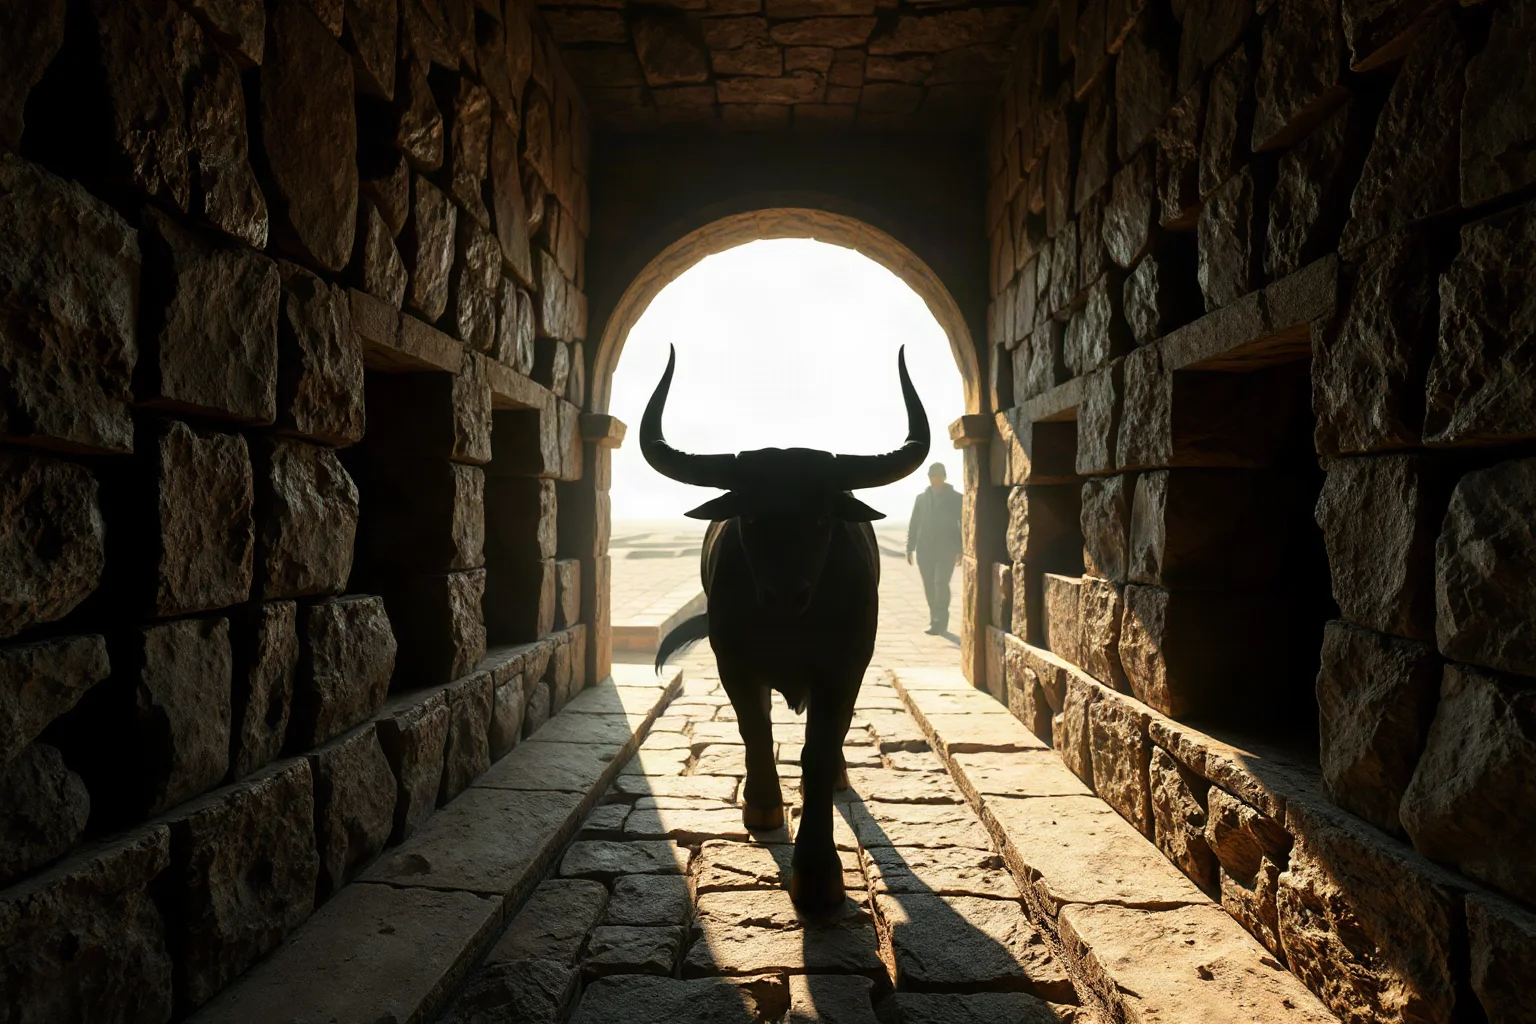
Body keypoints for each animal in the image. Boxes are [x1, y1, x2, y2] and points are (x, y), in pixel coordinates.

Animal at [646, 344, 930, 912]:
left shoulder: (844, 667)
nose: (784, 595)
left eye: (821, 517)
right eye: (751, 516)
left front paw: (818, 872)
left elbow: (816, 752)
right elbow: (755, 727)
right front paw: (762, 806)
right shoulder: (732, 661)